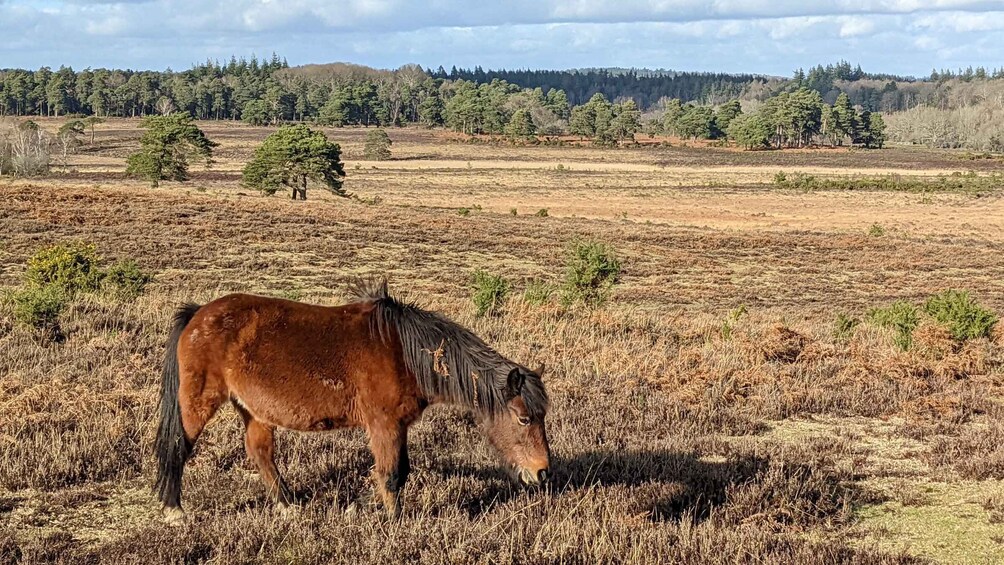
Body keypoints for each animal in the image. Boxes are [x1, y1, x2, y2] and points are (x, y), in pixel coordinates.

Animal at [152, 280, 554, 525]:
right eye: (523, 419)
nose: (542, 472)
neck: (405, 352)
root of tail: (198, 313)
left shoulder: (397, 426)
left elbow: (399, 471)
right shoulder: (384, 425)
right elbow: (392, 474)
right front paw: (394, 522)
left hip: (253, 410)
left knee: (260, 452)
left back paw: (288, 506)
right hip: (199, 401)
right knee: (179, 446)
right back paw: (174, 510)